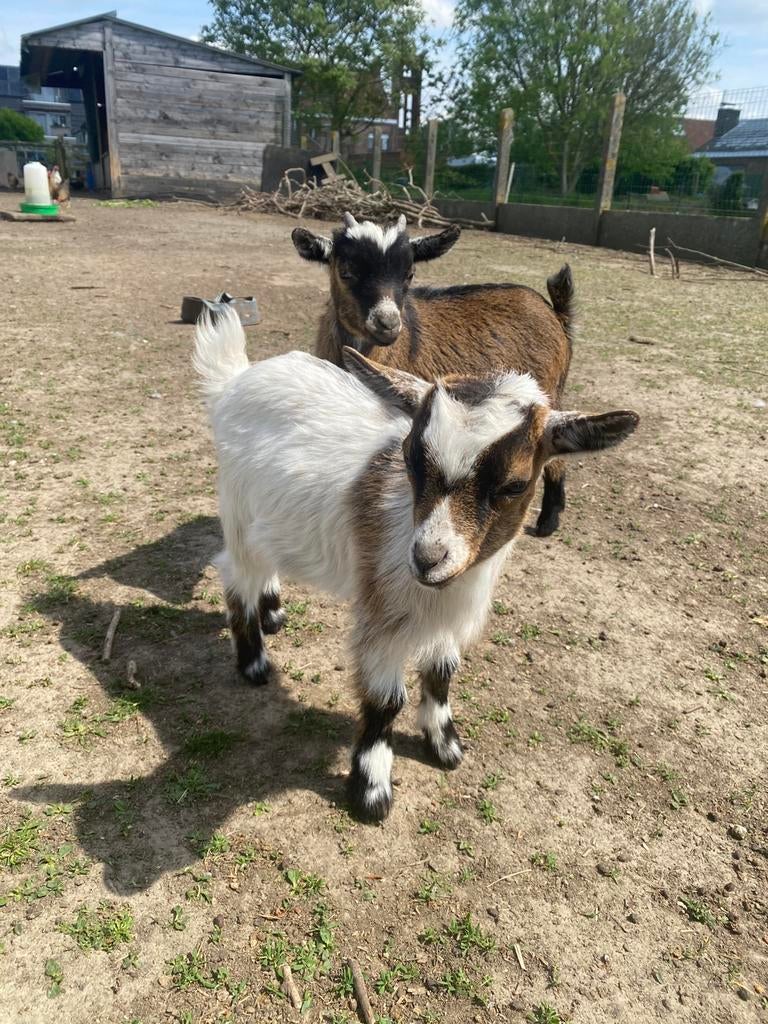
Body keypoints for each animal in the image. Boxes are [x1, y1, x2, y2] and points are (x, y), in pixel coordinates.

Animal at [194, 307, 639, 821]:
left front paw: (446, 746)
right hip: (237, 513)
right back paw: (253, 662)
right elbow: (385, 700)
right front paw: (371, 791)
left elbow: (442, 675)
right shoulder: (383, 617)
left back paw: (272, 612)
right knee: (235, 574)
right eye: (408, 459)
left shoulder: (446, 618)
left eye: (513, 484)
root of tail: (235, 379)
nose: (427, 558)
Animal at [292, 212, 575, 538]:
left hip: (548, 391)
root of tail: (554, 311)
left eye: (410, 274)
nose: (388, 324)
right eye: (346, 271)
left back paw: (548, 521)